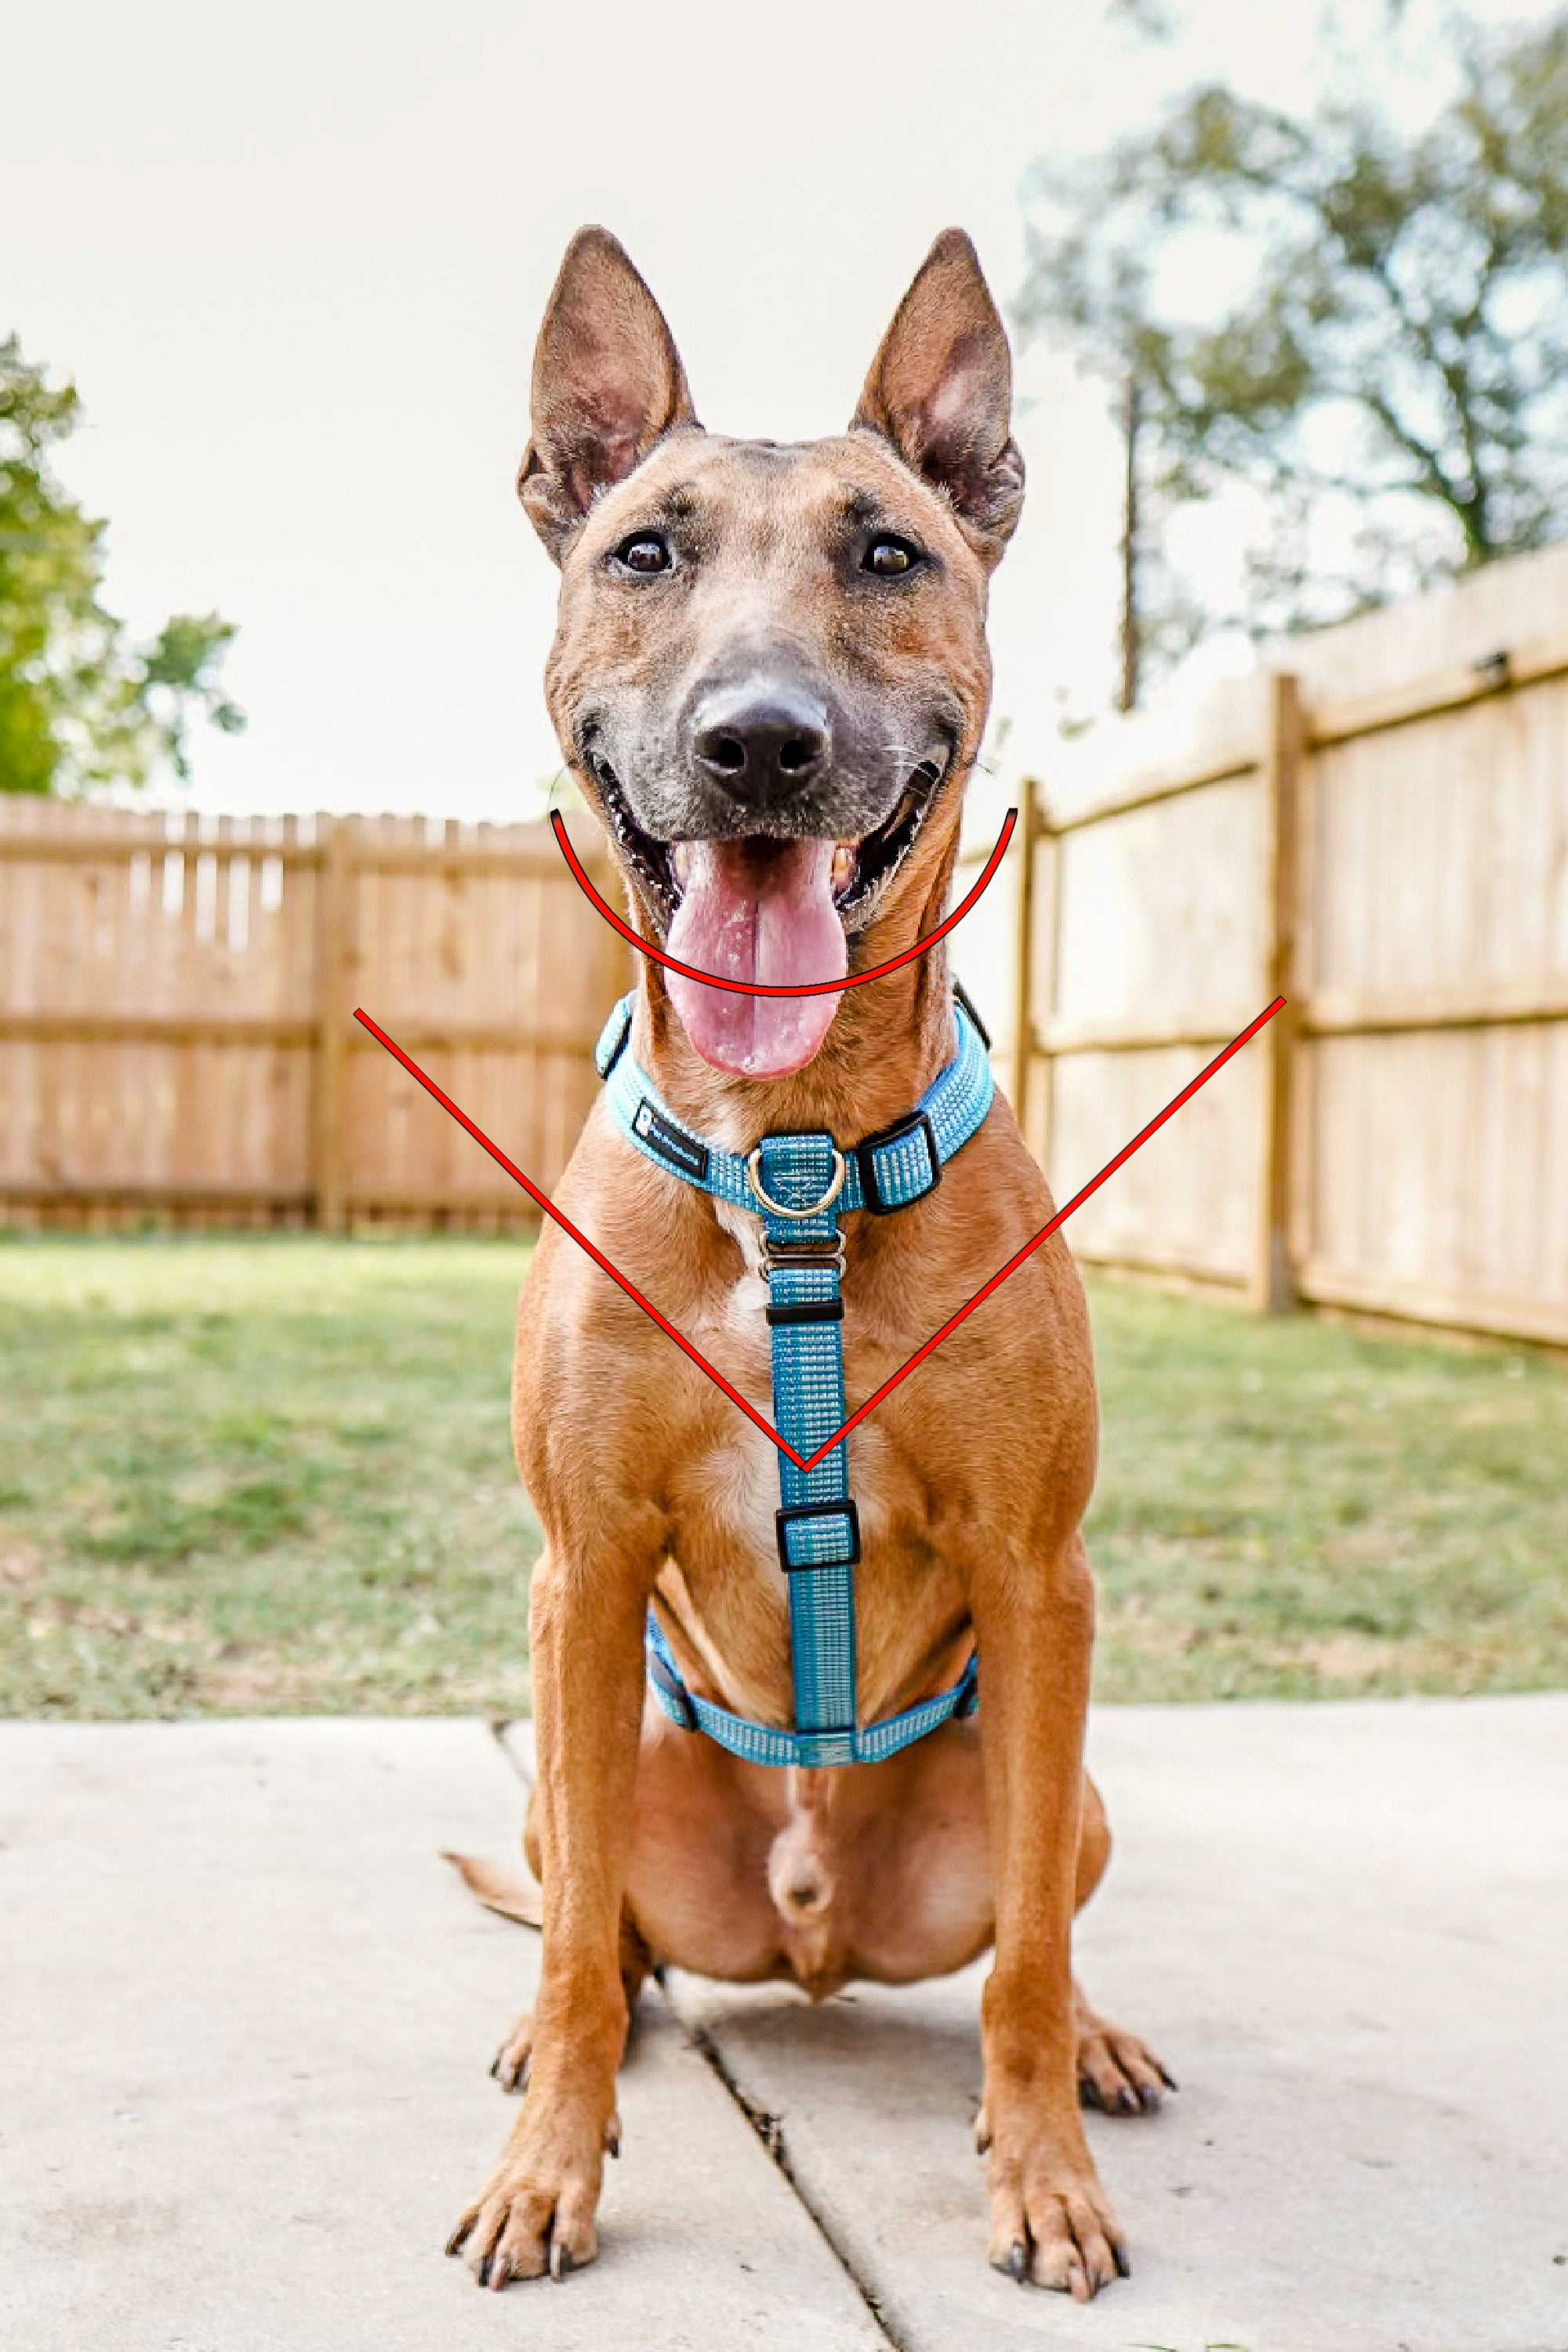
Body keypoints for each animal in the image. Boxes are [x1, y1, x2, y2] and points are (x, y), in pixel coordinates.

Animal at [446, 229, 1171, 2305]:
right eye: (643, 550)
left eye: (886, 551)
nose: (756, 743)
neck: (795, 1157)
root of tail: (807, 1917)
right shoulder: (582, 1573)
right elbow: (577, 1960)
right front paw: (549, 2164)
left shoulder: (1040, 1577)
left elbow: (1022, 1960)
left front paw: (1040, 2166)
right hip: (587, 1763)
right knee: (593, 1930)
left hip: (1061, 1779)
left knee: (1034, 1923)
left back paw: (1097, 2042)